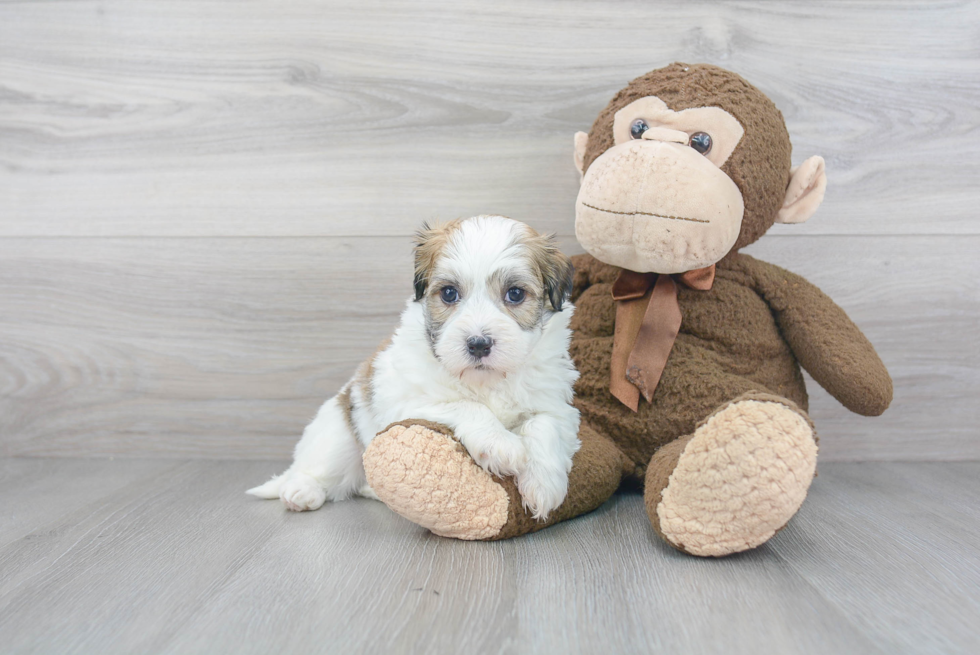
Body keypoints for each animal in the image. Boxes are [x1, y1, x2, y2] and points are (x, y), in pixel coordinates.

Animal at [247, 215, 580, 524]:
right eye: (449, 293)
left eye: (515, 294)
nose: (478, 344)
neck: (485, 381)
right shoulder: (406, 402)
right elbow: (467, 405)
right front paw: (500, 445)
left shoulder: (556, 404)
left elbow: (544, 424)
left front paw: (544, 485)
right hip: (338, 434)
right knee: (317, 468)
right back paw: (301, 490)